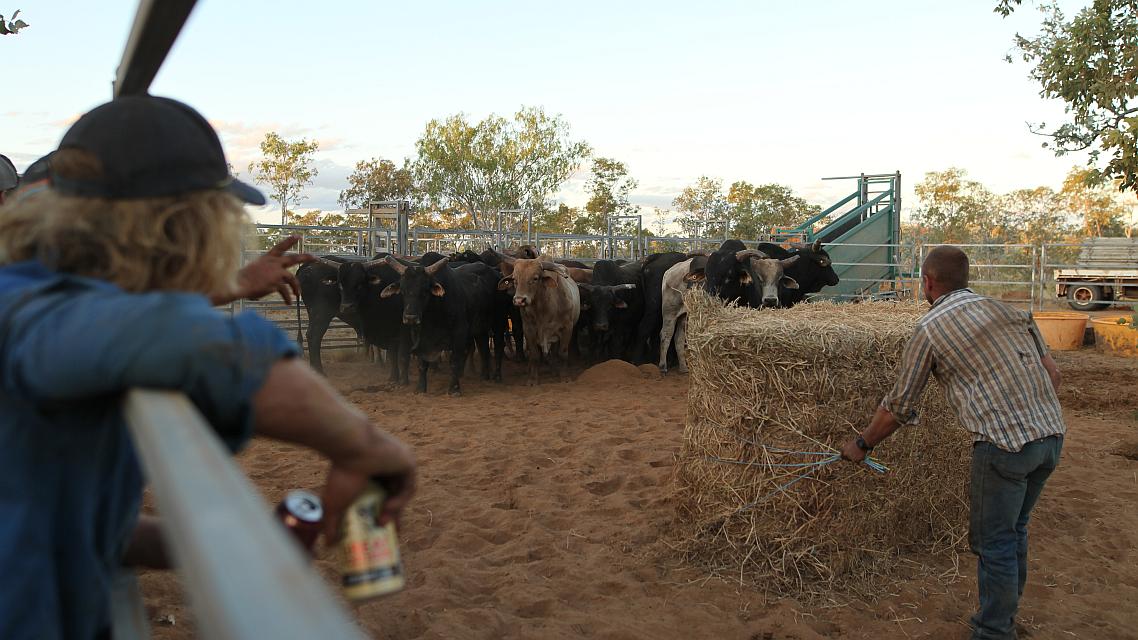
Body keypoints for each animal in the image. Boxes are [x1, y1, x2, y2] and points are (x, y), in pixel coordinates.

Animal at [377, 253, 498, 394]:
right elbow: (422, 364)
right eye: (402, 291)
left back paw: (485, 376)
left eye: (424, 290)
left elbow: (454, 361)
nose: (410, 317)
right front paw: (420, 388)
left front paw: (454, 389)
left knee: (484, 350)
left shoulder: (459, 334)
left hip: (484, 328)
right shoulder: (420, 339)